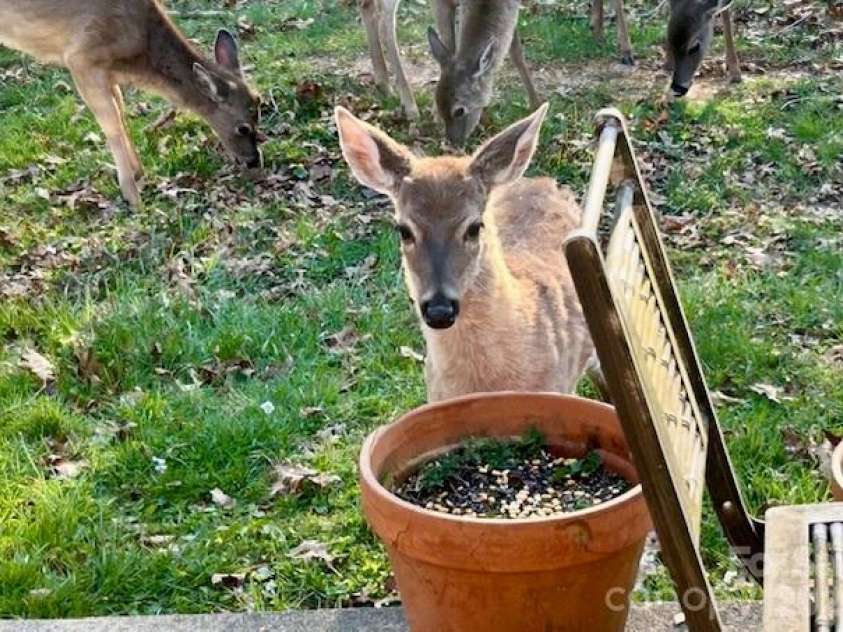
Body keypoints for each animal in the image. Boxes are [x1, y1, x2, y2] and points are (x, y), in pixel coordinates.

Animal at [0, 0, 262, 208]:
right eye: (243, 128)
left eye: (259, 110)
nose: (253, 161)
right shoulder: (82, 58)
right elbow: (113, 127)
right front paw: (133, 198)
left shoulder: (108, 74)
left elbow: (121, 112)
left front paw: (140, 175)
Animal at [358, 0, 539, 145]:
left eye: (459, 110)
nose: (453, 143)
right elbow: (450, 44)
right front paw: (435, 115)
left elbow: (515, 48)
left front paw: (535, 105)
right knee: (385, 20)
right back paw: (410, 107)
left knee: (367, 5)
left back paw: (384, 84)